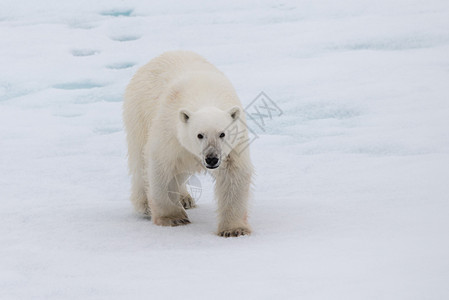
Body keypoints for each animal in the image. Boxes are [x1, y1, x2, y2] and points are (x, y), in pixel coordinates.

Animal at [122, 51, 254, 237]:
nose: (211, 159)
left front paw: (234, 229)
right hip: (139, 113)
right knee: (140, 161)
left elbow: (233, 174)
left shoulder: (235, 145)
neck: (205, 95)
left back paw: (185, 199)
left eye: (222, 134)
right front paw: (173, 218)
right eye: (199, 135)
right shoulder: (170, 132)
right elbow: (161, 166)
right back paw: (145, 205)